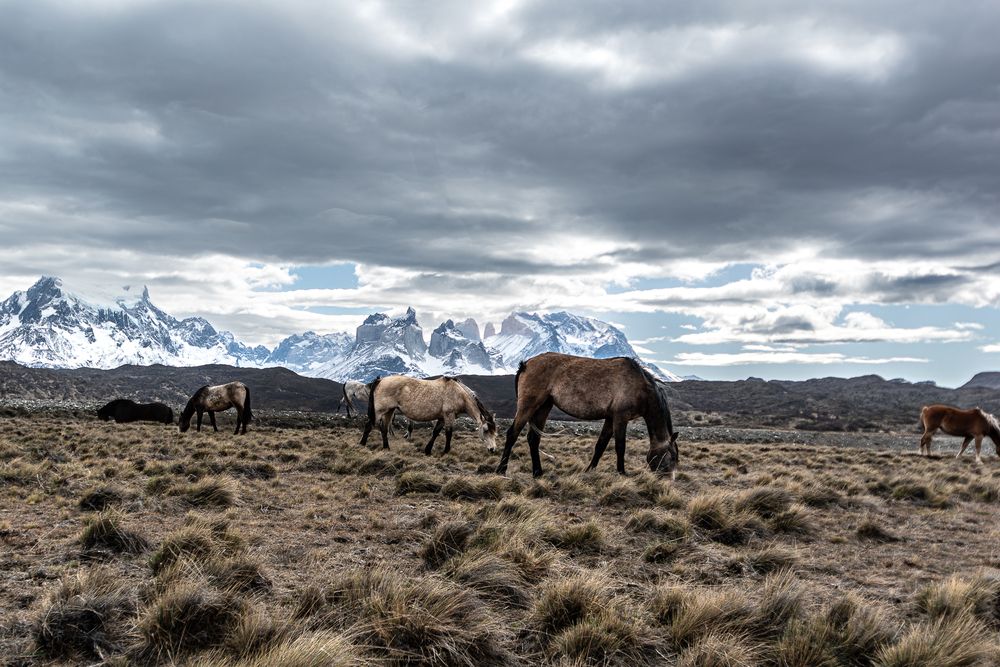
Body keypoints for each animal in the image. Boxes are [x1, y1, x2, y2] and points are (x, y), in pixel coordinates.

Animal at [359, 376, 497, 455]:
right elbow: (448, 433)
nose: (492, 449)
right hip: (379, 411)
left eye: (495, 433)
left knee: (384, 429)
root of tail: (381, 380)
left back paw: (386, 448)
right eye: (485, 430)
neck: (458, 393)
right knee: (369, 425)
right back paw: (362, 445)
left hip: (389, 411)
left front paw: (428, 450)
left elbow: (435, 432)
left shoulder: (442, 418)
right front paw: (446, 451)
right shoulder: (449, 416)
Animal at [495, 352, 679, 478]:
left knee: (533, 439)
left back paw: (538, 472)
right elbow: (620, 446)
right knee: (512, 434)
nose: (667, 482)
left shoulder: (610, 418)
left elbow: (601, 445)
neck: (640, 386)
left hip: (543, 407)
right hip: (528, 405)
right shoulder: (620, 418)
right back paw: (501, 470)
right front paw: (622, 473)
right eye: (671, 457)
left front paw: (590, 470)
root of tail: (526, 364)